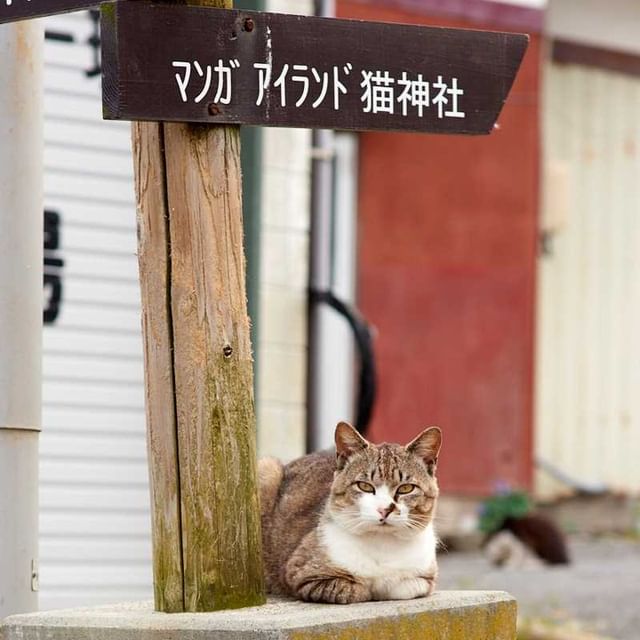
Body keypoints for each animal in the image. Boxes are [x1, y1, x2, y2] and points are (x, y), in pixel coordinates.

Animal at [258, 422, 442, 604]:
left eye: (406, 488)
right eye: (364, 486)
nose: (384, 509)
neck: (382, 543)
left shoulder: (426, 579)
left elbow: (404, 587)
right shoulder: (304, 574)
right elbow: (355, 590)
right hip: (266, 467)